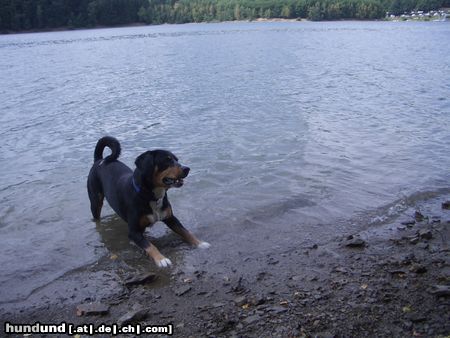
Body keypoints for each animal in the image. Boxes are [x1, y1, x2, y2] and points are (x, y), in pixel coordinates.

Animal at [87, 136, 210, 268]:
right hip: (95, 201)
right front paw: (161, 259)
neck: (151, 197)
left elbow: (185, 231)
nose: (186, 169)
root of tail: (99, 160)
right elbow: (149, 245)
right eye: (167, 160)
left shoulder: (171, 218)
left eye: (177, 160)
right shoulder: (134, 232)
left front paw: (200, 243)